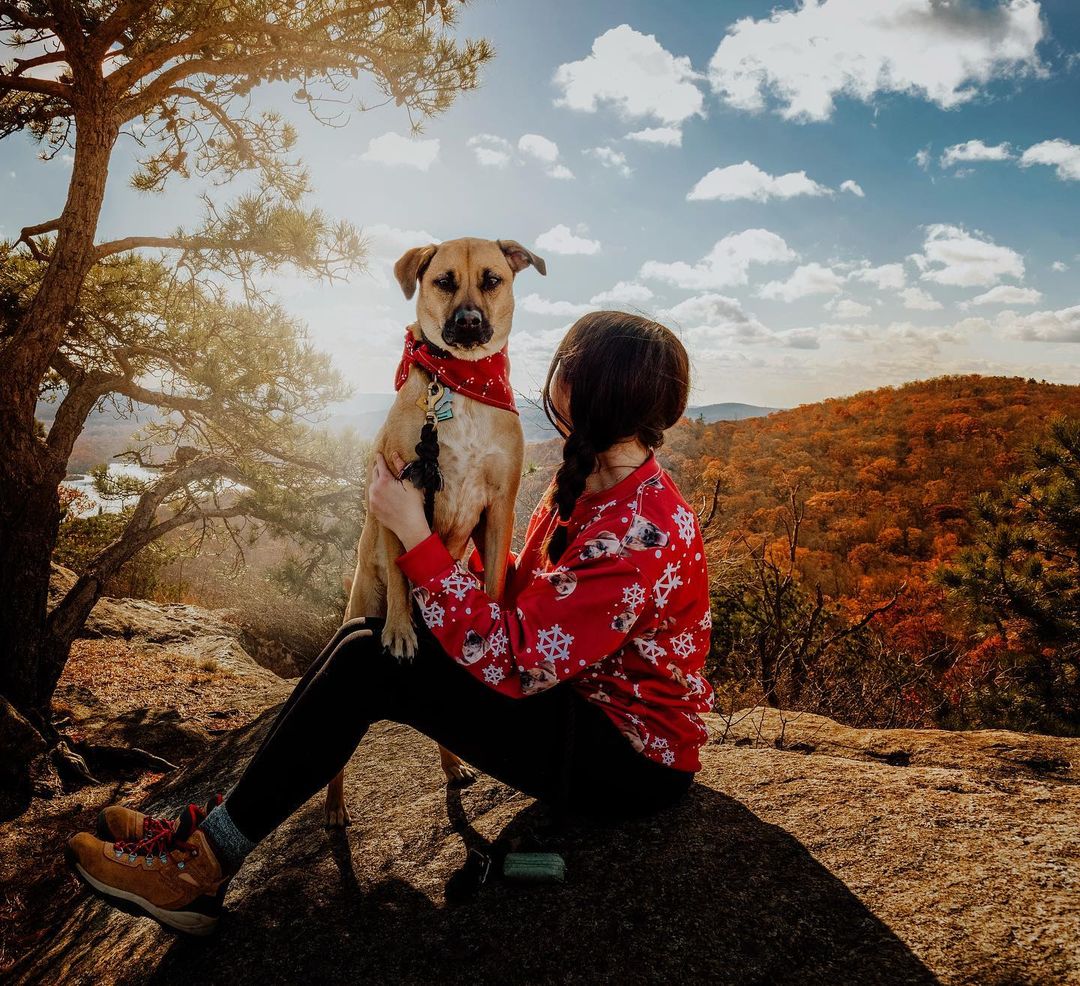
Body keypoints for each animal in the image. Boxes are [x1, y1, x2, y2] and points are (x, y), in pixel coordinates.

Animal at [321, 236, 544, 825]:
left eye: (492, 279)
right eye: (444, 281)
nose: (467, 322)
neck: (462, 385)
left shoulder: (500, 507)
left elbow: (492, 584)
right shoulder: (398, 491)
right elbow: (404, 575)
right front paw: (400, 631)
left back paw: (453, 767)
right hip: (359, 604)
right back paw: (333, 807)